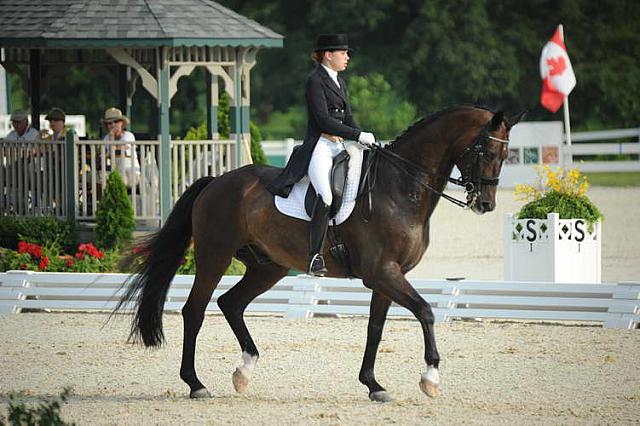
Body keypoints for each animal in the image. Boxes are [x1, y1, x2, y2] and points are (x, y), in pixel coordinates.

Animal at [115, 105, 524, 402]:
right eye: (486, 150)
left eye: (508, 154)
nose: (486, 204)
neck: (399, 188)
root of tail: (216, 181)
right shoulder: (382, 272)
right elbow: (425, 311)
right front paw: (430, 378)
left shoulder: (388, 276)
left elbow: (375, 328)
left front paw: (373, 385)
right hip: (215, 257)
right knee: (195, 310)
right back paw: (196, 384)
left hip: (269, 267)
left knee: (231, 303)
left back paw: (244, 372)